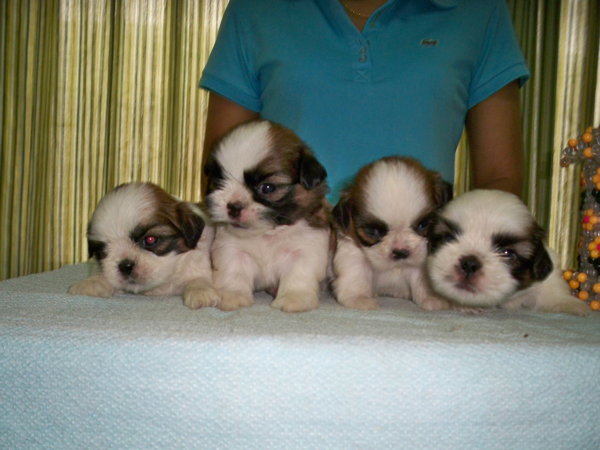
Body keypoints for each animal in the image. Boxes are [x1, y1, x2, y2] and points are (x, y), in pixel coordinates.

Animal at [68, 182, 219, 310]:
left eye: (150, 240)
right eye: (103, 249)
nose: (126, 266)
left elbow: (198, 277)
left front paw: (200, 290)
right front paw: (92, 282)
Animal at [203, 119, 330, 313]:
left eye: (268, 188)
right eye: (219, 182)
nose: (233, 206)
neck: (267, 234)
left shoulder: (305, 248)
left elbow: (298, 274)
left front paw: (294, 298)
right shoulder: (232, 249)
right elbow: (233, 272)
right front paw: (233, 296)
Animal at [330, 156, 454, 311]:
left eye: (423, 224)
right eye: (372, 231)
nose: (400, 252)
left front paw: (431, 296)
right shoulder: (352, 250)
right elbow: (356, 272)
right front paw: (358, 298)